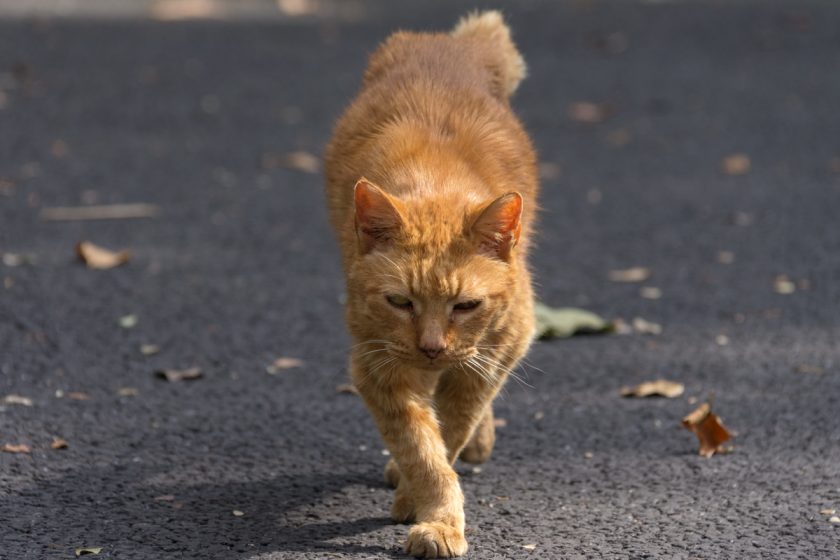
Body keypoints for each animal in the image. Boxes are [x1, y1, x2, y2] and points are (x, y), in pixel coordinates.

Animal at [324, 10, 536, 556]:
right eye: (400, 302)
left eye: (465, 305)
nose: (432, 347)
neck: (438, 181)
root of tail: (449, 44)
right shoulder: (377, 367)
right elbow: (421, 447)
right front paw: (429, 507)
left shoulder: (498, 350)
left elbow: (452, 427)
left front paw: (425, 508)